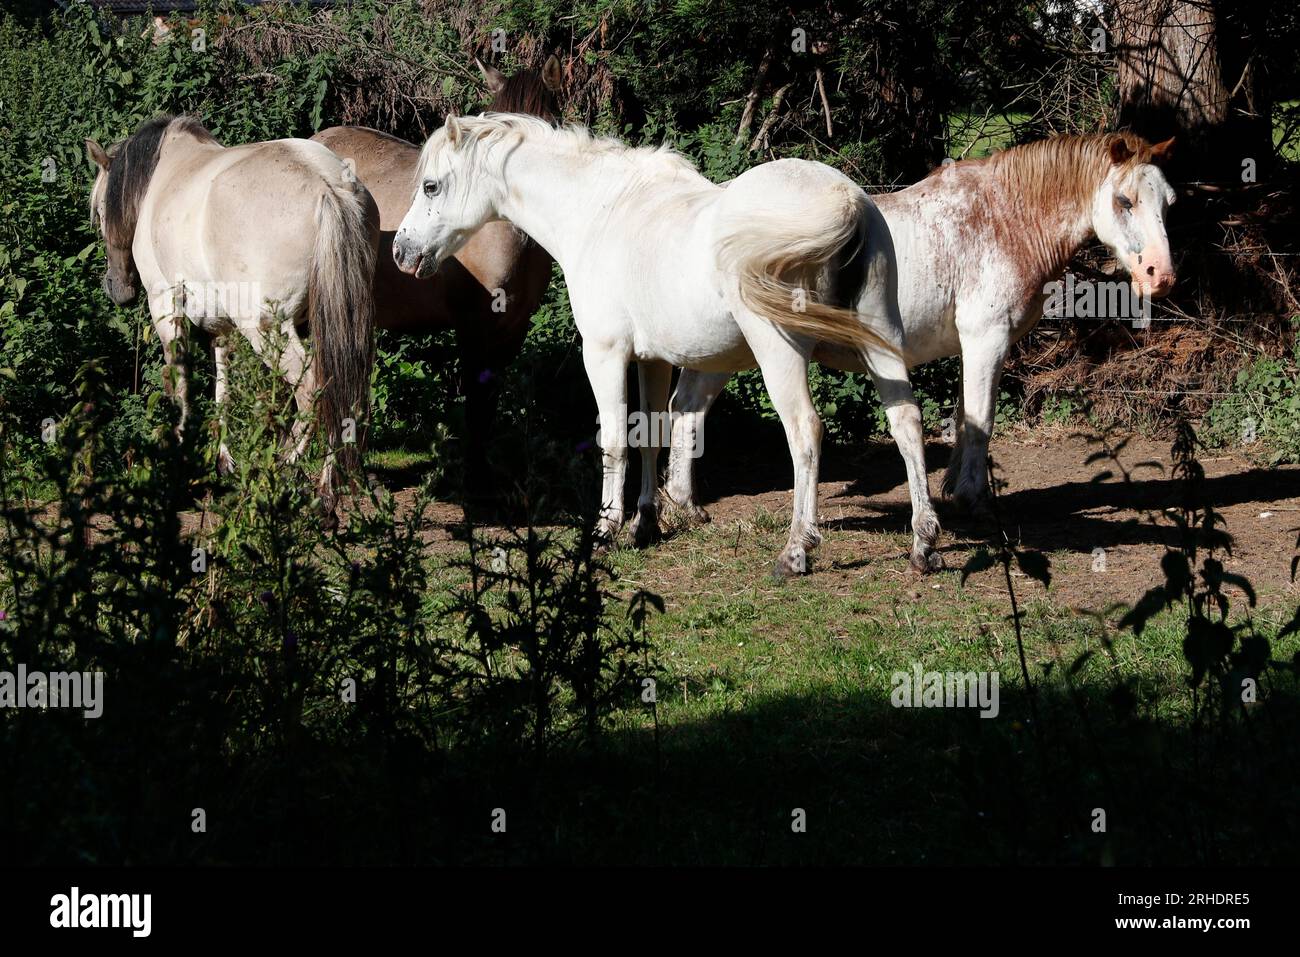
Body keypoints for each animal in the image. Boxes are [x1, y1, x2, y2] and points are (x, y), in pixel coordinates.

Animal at [87, 113, 377, 509]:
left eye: (101, 211)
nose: (116, 289)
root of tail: (329, 186)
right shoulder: (221, 327)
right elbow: (222, 390)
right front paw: (222, 460)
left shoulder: (166, 308)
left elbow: (180, 384)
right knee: (343, 393)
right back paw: (325, 485)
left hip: (268, 330)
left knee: (313, 390)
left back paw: (284, 468)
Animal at [390, 111, 941, 574]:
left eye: (431, 185)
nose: (401, 251)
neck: (601, 212)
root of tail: (845, 201)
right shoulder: (651, 360)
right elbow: (650, 433)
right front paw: (645, 523)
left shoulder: (605, 354)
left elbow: (614, 438)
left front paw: (606, 529)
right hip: (882, 340)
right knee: (905, 421)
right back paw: (924, 545)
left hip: (779, 352)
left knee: (805, 430)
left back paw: (796, 550)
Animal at [665, 131, 1185, 514]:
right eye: (1124, 200)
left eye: (1168, 203)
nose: (1160, 276)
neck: (1000, 220)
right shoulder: (986, 340)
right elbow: (982, 419)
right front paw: (973, 497)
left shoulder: (975, 347)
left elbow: (964, 414)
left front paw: (956, 485)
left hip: (719, 352)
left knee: (687, 408)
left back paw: (682, 503)